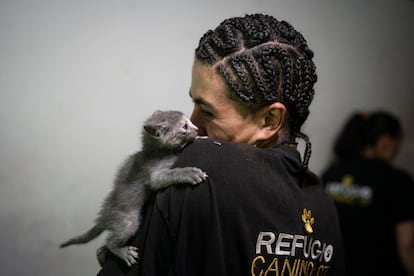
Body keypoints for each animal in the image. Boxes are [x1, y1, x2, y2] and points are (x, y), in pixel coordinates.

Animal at [59, 110, 207, 268]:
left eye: (189, 121)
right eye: (185, 126)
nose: (197, 128)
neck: (157, 152)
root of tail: (104, 216)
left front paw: (201, 137)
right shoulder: (154, 173)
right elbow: (167, 175)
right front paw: (191, 173)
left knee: (101, 248)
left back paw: (102, 257)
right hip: (128, 221)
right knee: (110, 241)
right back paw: (123, 253)